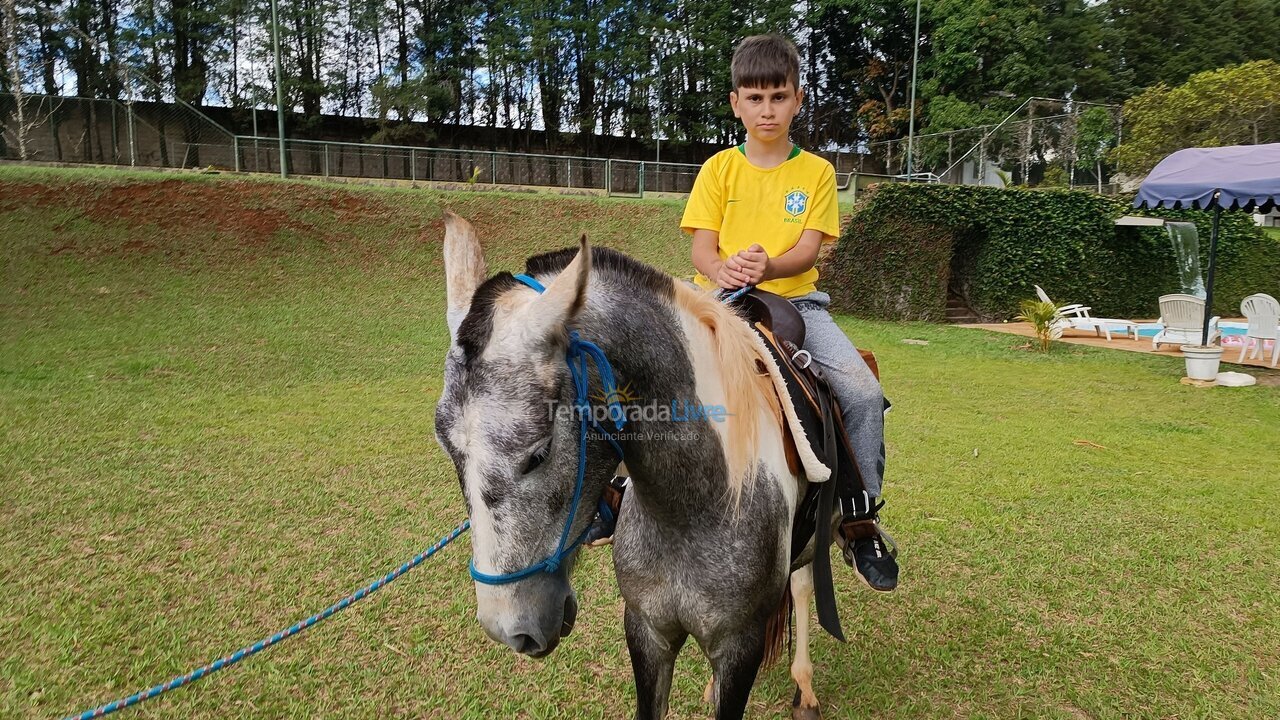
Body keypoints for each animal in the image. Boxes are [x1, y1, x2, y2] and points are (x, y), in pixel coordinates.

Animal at [435, 212, 834, 717]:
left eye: (539, 453)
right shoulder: (647, 632)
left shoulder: (739, 646)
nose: (510, 630)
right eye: (448, 450)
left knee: (801, 588)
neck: (695, 507)